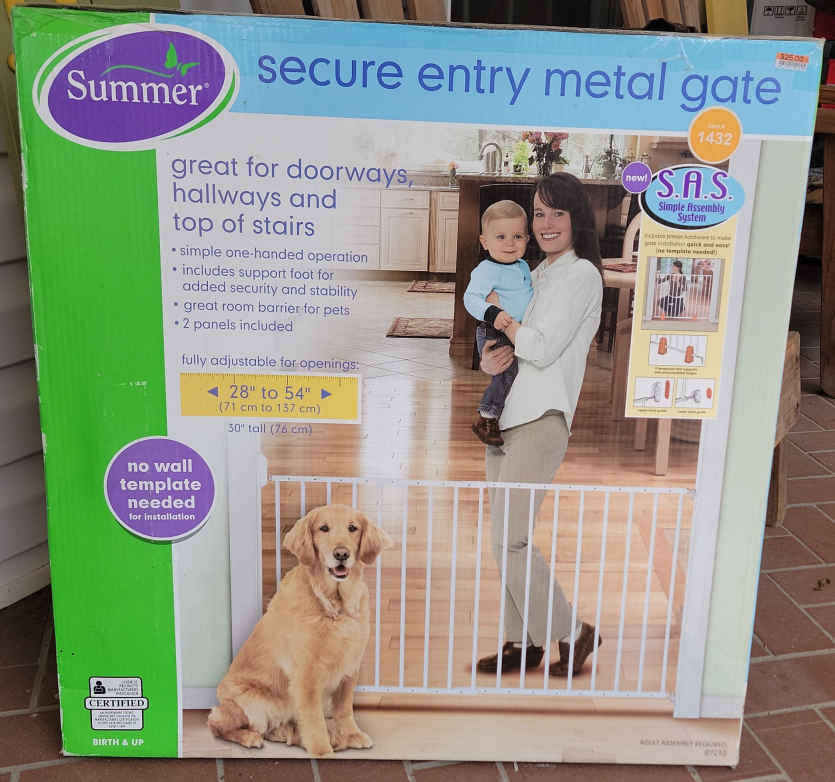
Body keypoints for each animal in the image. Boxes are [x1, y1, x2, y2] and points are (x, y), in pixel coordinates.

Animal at [208, 504, 392, 757]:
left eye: (353, 528)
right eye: (323, 528)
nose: (341, 554)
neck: (334, 605)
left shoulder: (350, 667)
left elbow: (345, 708)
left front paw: (352, 734)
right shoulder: (307, 673)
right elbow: (314, 718)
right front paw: (322, 751)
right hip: (253, 702)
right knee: (217, 723)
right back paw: (250, 737)